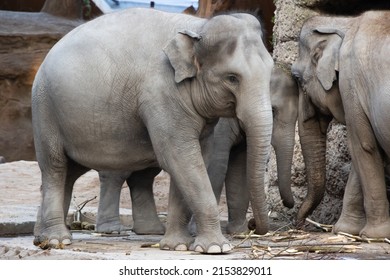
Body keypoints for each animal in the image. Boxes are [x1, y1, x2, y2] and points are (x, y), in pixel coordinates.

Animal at [31, 8, 274, 254]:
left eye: (270, 71)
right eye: (232, 78)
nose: (254, 226)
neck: (198, 27)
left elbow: (197, 158)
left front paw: (177, 246)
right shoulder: (161, 94)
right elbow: (181, 158)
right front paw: (216, 248)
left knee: (69, 173)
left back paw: (42, 237)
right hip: (45, 110)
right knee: (55, 167)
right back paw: (57, 240)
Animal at [290, 10, 390, 238]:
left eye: (297, 78)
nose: (299, 225)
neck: (347, 22)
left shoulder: (351, 81)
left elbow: (363, 147)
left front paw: (373, 235)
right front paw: (344, 230)